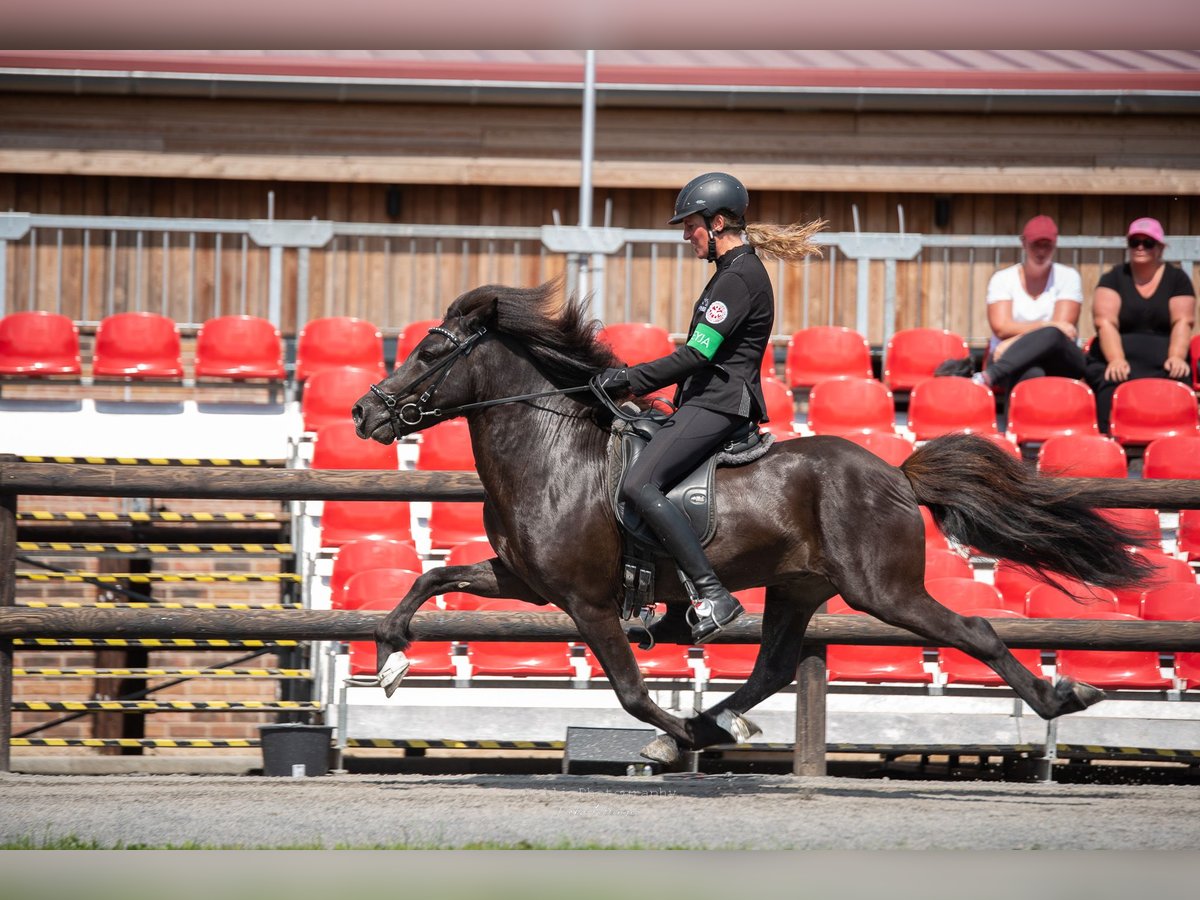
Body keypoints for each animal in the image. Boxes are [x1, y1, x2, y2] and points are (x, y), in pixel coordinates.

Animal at [350, 283, 1156, 768]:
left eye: (429, 352)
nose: (363, 413)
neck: (555, 454)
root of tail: (895, 474)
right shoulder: (522, 579)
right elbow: (429, 577)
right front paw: (389, 657)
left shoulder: (586, 602)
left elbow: (630, 691)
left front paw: (675, 738)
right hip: (799, 586)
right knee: (773, 666)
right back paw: (717, 722)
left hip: (882, 591)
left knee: (976, 631)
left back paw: (1062, 698)